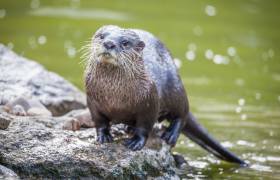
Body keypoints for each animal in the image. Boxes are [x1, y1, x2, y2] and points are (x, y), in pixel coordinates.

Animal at [85, 25, 245, 165]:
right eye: (101, 36)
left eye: (125, 42)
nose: (109, 43)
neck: (114, 95)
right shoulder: (92, 101)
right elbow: (99, 121)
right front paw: (103, 135)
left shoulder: (150, 102)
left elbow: (145, 126)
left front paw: (136, 141)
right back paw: (128, 127)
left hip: (177, 89)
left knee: (183, 114)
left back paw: (170, 135)